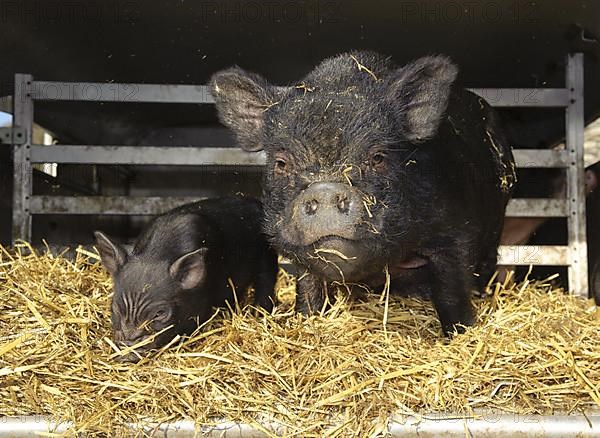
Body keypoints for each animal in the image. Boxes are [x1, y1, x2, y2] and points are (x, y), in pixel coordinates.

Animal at [94, 197, 278, 362]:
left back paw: (260, 313)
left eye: (159, 313)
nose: (127, 351)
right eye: (115, 307)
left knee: (266, 282)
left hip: (267, 257)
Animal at [211, 51, 516, 336]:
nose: (325, 190)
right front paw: (306, 319)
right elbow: (308, 288)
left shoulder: (455, 232)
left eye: (378, 157)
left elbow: (452, 292)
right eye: (281, 163)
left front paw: (460, 333)